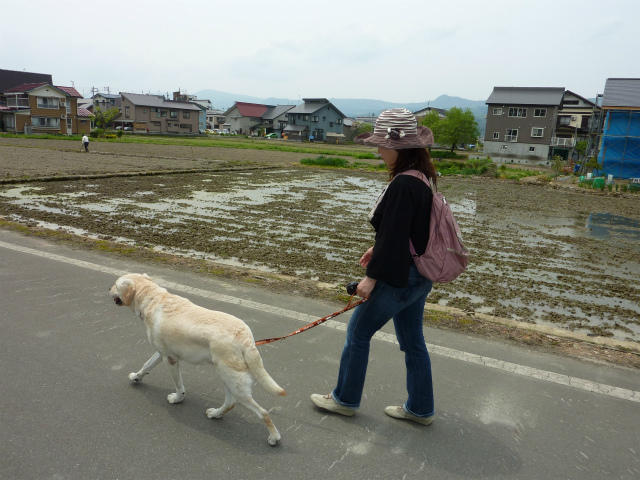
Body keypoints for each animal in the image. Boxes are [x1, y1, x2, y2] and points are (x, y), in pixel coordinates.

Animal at [110, 274, 284, 446]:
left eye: (115, 284)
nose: (108, 290)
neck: (152, 297)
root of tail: (246, 337)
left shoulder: (170, 359)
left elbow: (179, 385)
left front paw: (178, 398)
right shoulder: (162, 353)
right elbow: (146, 365)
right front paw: (136, 377)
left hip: (232, 380)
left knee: (262, 412)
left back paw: (274, 437)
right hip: (227, 377)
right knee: (231, 403)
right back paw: (216, 414)